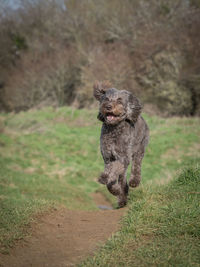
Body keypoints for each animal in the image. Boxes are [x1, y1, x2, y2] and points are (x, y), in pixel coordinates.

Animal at [94, 81, 148, 209]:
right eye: (106, 99)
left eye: (119, 100)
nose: (108, 106)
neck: (114, 129)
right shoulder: (107, 158)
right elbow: (110, 175)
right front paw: (114, 189)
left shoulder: (123, 158)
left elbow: (114, 169)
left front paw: (109, 182)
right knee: (122, 179)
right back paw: (122, 198)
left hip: (140, 148)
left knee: (136, 165)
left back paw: (134, 181)